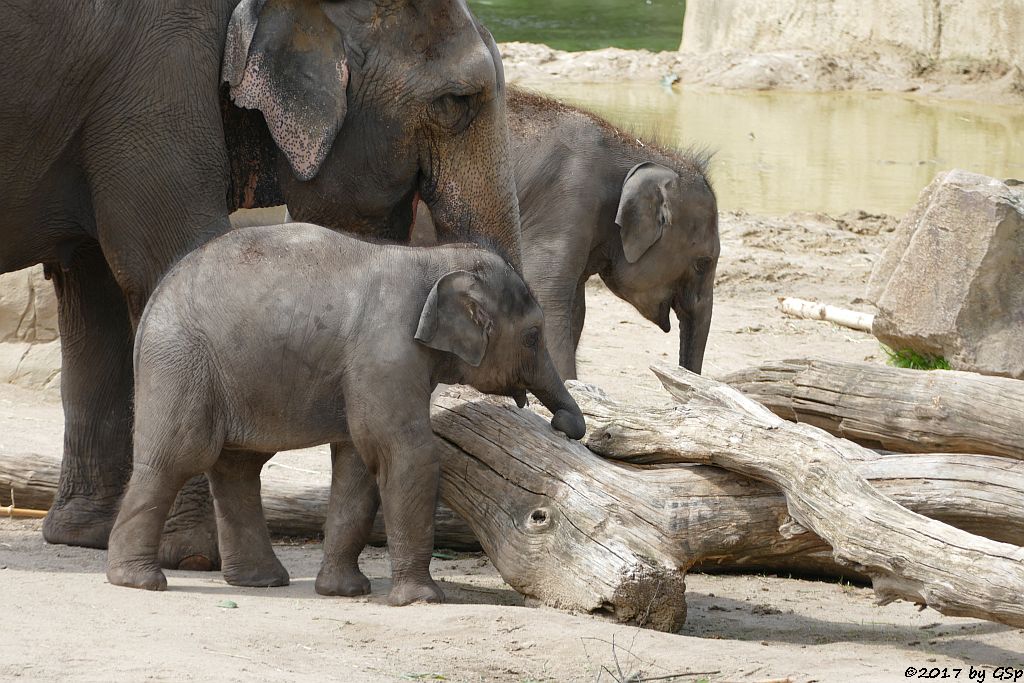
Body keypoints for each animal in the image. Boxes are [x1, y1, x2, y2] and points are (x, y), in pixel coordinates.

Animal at [0, 0, 524, 565]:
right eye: (456, 102)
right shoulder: (154, 84)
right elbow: (165, 262)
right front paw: (192, 556)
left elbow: (92, 296)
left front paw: (85, 537)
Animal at [105, 223, 585, 602]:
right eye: (533, 336)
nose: (564, 425)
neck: (432, 257)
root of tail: (153, 301)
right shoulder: (386, 351)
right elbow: (406, 453)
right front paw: (421, 599)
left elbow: (358, 460)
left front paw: (345, 592)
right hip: (181, 363)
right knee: (176, 458)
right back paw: (137, 582)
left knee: (237, 467)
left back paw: (260, 582)